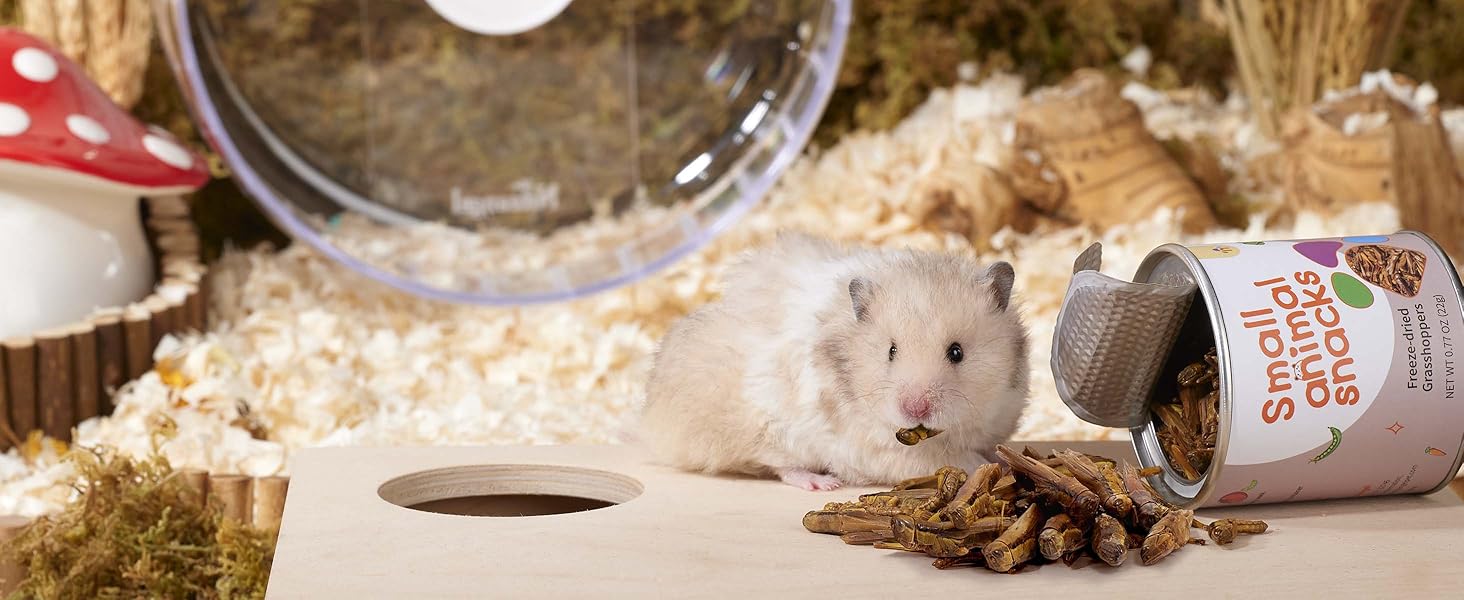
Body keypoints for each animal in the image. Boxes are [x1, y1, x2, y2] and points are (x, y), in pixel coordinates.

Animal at [638, 233, 1029, 490]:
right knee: (778, 465)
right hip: (763, 429)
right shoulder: (876, 450)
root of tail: (652, 423)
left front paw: (1004, 457)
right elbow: (953, 459)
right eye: (891, 351)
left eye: (957, 352)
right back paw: (822, 484)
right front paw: (993, 466)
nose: (914, 409)